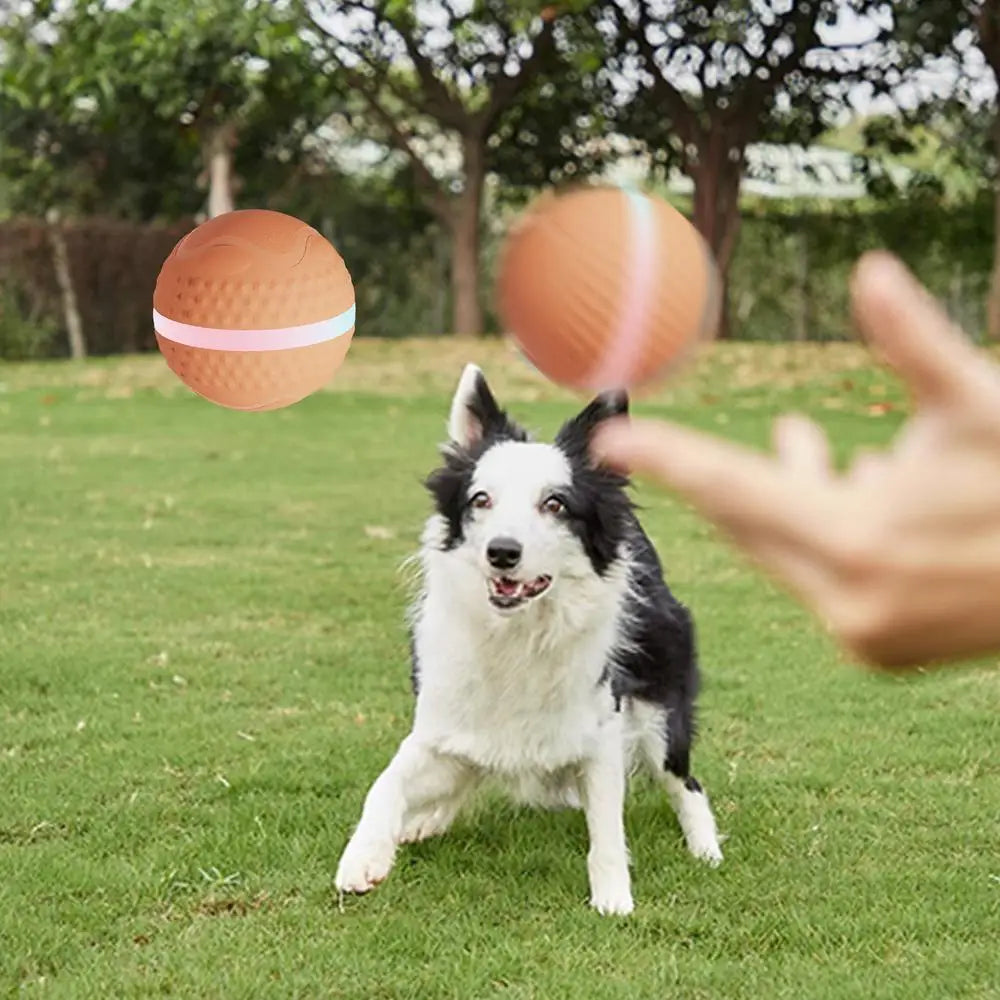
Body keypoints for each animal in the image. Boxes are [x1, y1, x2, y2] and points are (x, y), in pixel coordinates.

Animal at [334, 364, 720, 912]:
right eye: (481, 499)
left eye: (555, 504)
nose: (502, 552)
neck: (519, 632)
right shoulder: (439, 722)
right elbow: (385, 783)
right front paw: (363, 856)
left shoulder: (601, 730)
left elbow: (607, 828)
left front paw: (613, 898)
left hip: (661, 713)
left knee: (685, 781)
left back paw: (706, 848)